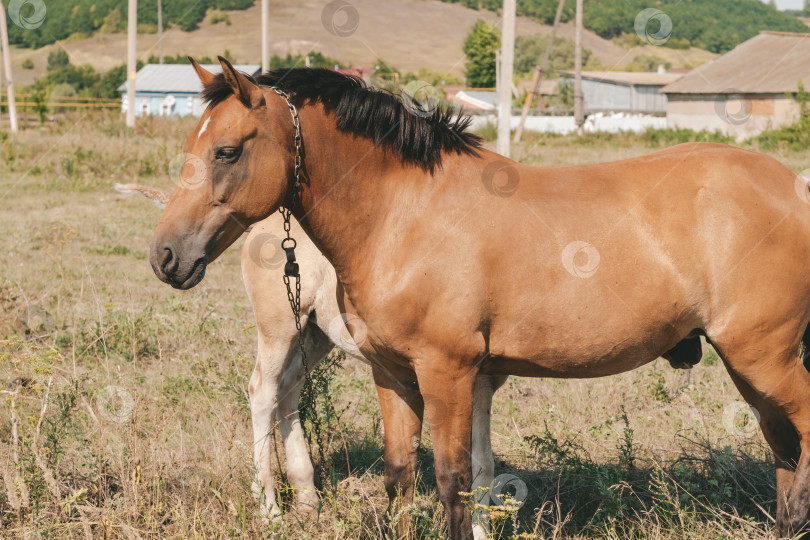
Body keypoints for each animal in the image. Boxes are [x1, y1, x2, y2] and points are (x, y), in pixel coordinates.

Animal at [148, 57, 808, 536]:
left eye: (226, 151)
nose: (165, 256)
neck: (405, 212)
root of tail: (794, 186)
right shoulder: (394, 374)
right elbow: (399, 476)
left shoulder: (450, 372)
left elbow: (455, 479)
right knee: (783, 446)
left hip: (762, 357)